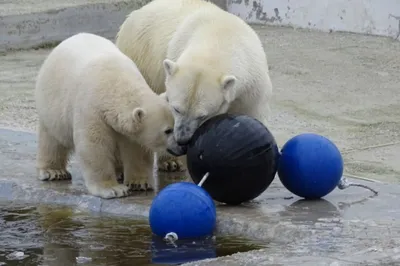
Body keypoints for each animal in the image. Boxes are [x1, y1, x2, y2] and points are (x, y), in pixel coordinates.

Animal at [115, 0, 272, 171]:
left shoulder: (252, 85)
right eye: (176, 108)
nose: (182, 139)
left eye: (202, 116)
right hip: (141, 55)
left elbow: (252, 114)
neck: (219, 36)